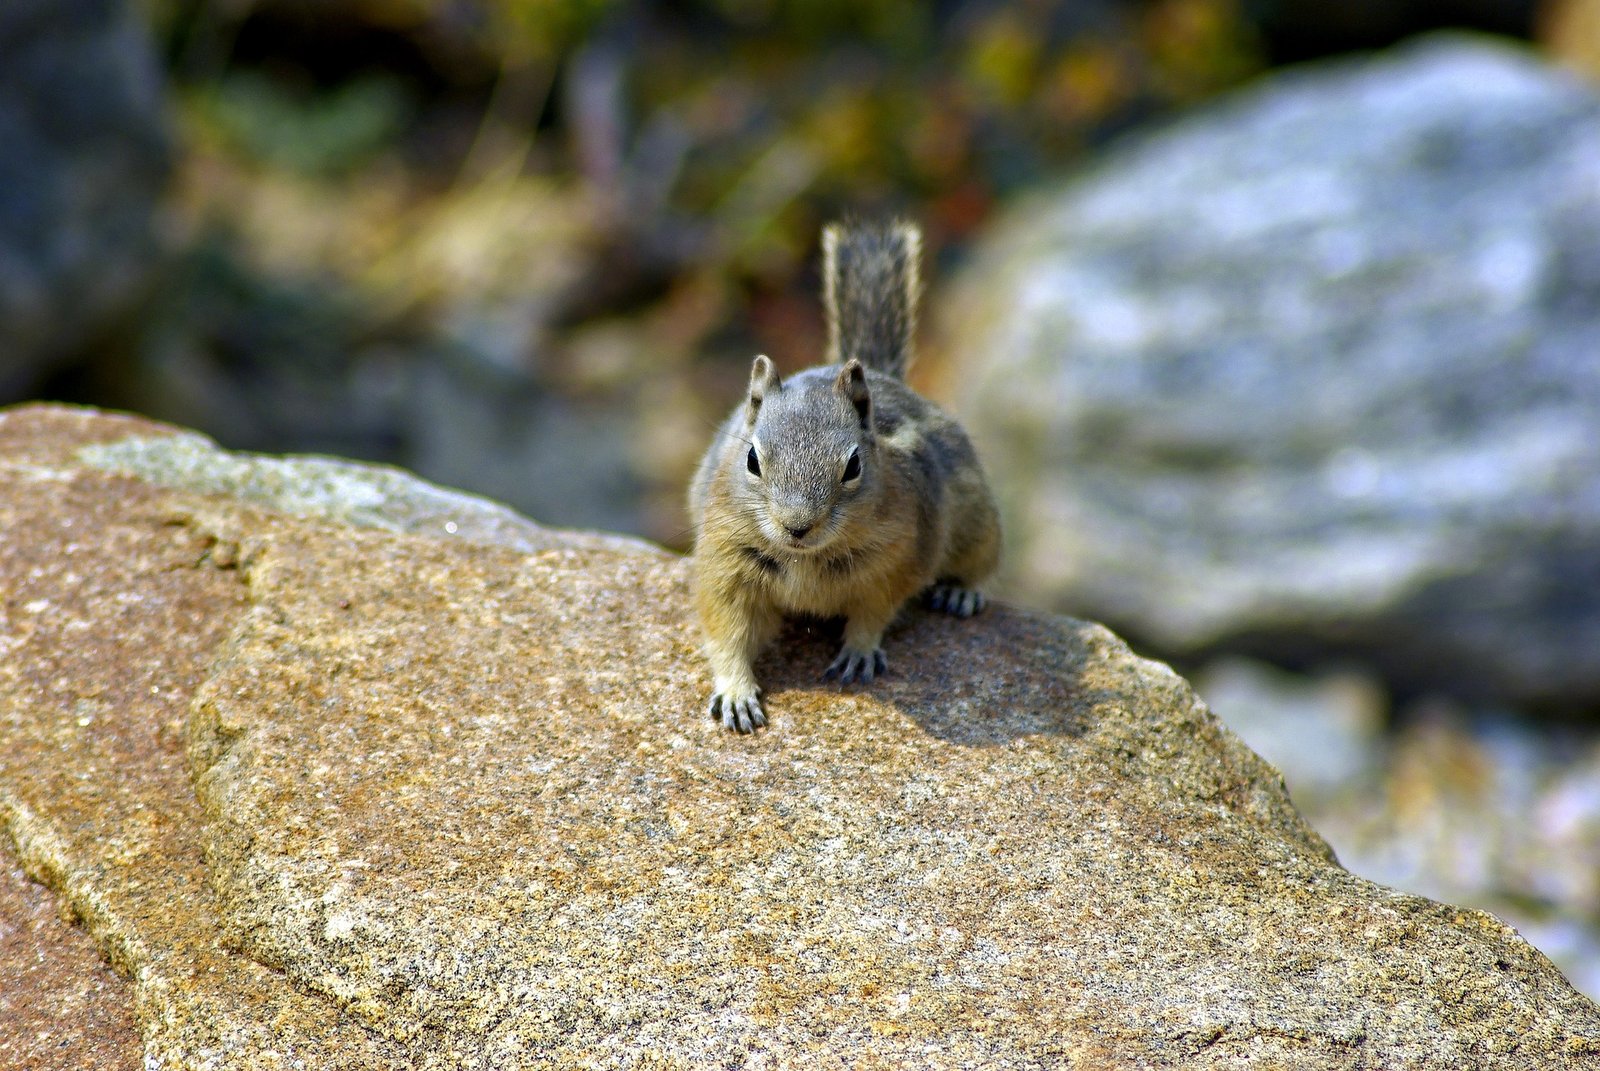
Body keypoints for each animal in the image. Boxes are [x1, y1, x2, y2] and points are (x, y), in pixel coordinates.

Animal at [684, 220, 998, 730]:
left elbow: (875, 611)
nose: (797, 526)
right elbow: (726, 630)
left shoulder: (900, 556)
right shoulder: (724, 560)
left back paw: (962, 593)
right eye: (752, 460)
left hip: (979, 524)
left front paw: (859, 652)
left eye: (853, 466)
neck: (806, 557)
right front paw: (736, 693)